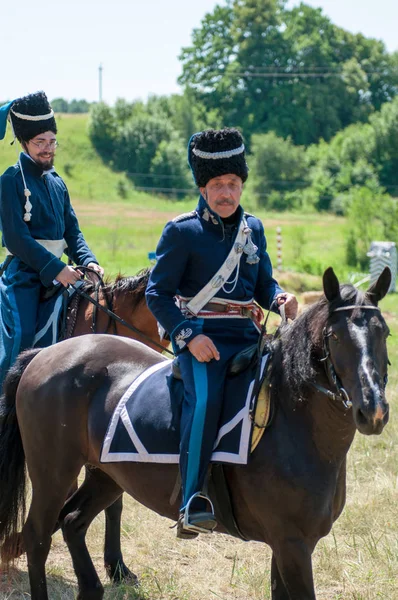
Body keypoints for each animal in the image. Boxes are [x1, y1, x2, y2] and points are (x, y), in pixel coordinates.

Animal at [0, 268, 392, 600]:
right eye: (335, 336)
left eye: (384, 333)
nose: (372, 410)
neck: (293, 422)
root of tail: (45, 353)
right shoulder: (292, 545)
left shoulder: (286, 547)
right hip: (53, 473)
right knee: (37, 537)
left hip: (107, 475)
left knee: (72, 522)